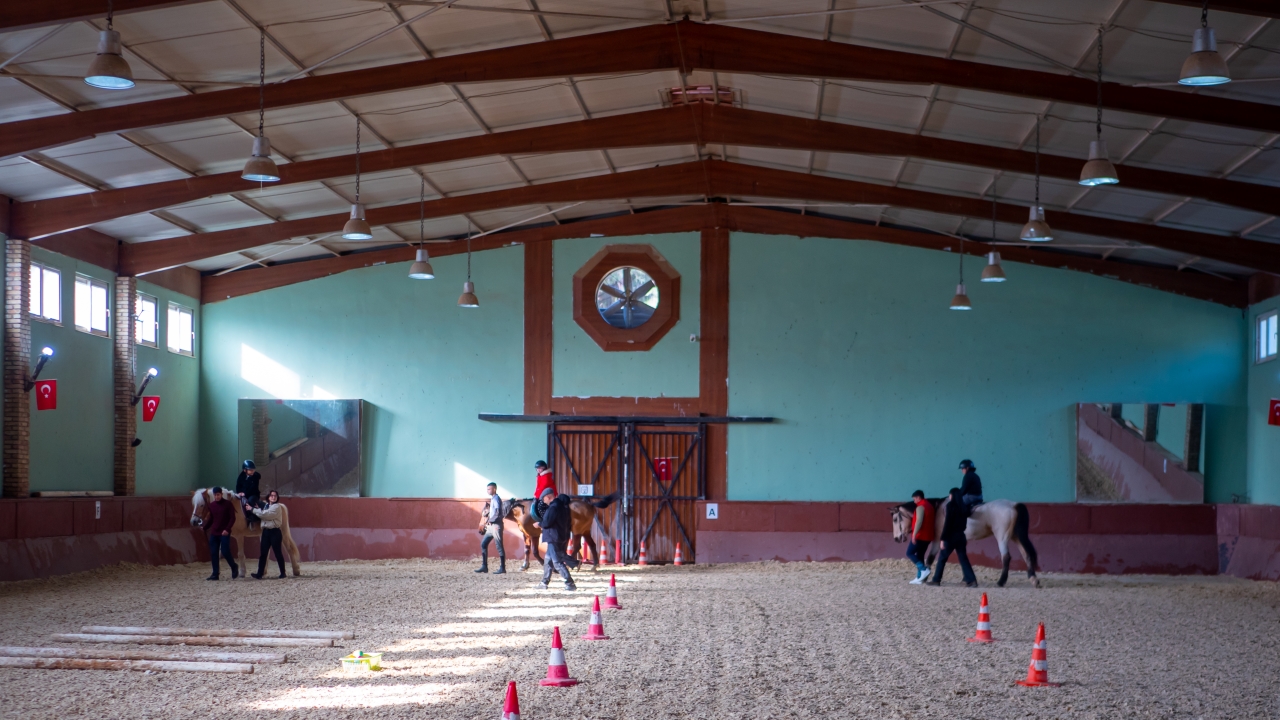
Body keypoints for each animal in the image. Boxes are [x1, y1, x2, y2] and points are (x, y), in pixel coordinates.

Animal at [891, 498, 1039, 588]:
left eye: (895, 519)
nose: (896, 539)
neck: (937, 511)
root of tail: (1013, 505)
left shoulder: (938, 540)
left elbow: (931, 558)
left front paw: (925, 578)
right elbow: (962, 558)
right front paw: (966, 579)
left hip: (1002, 537)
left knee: (1006, 557)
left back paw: (1001, 581)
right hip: (1016, 536)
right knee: (1026, 554)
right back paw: (1033, 579)